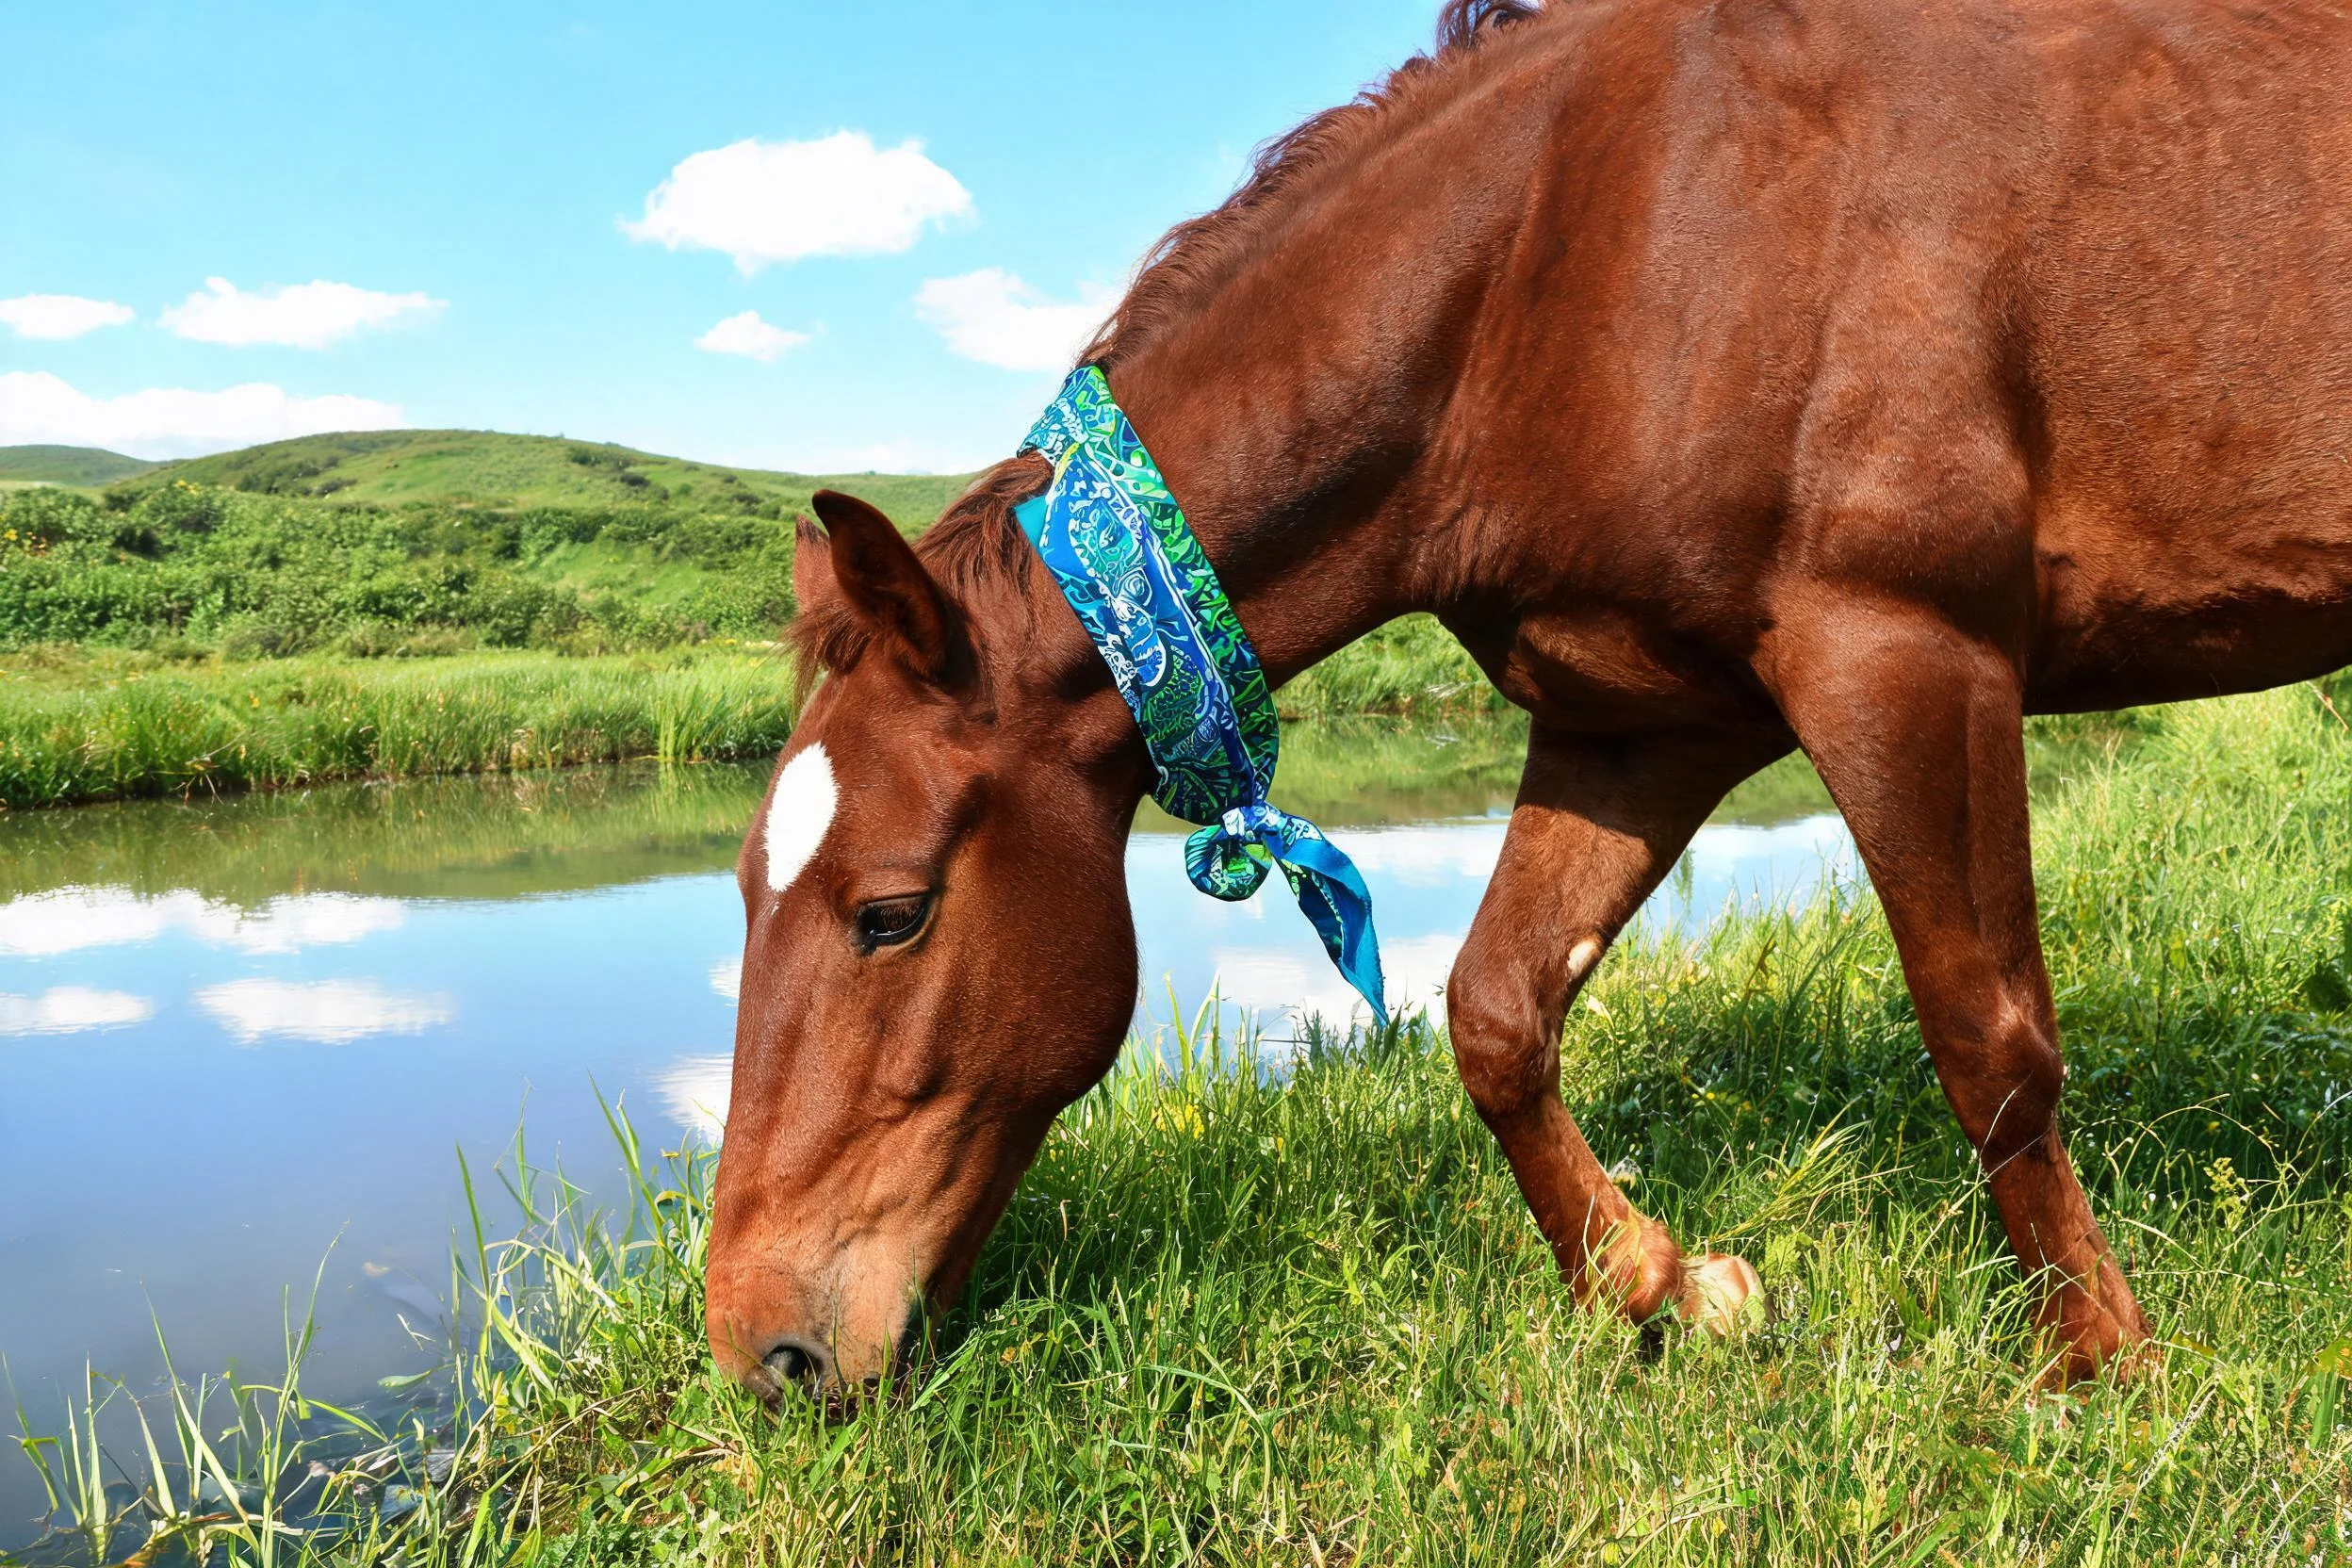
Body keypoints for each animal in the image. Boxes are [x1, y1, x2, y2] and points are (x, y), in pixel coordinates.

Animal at [704, 0, 2352, 1400]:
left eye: (891, 912)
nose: (758, 1349)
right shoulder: (1638, 721)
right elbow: (1498, 1011)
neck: (1592, 242)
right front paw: (1657, 1283)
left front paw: (2104, 1362)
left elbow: (1991, 1039)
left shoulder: (1905, 651)